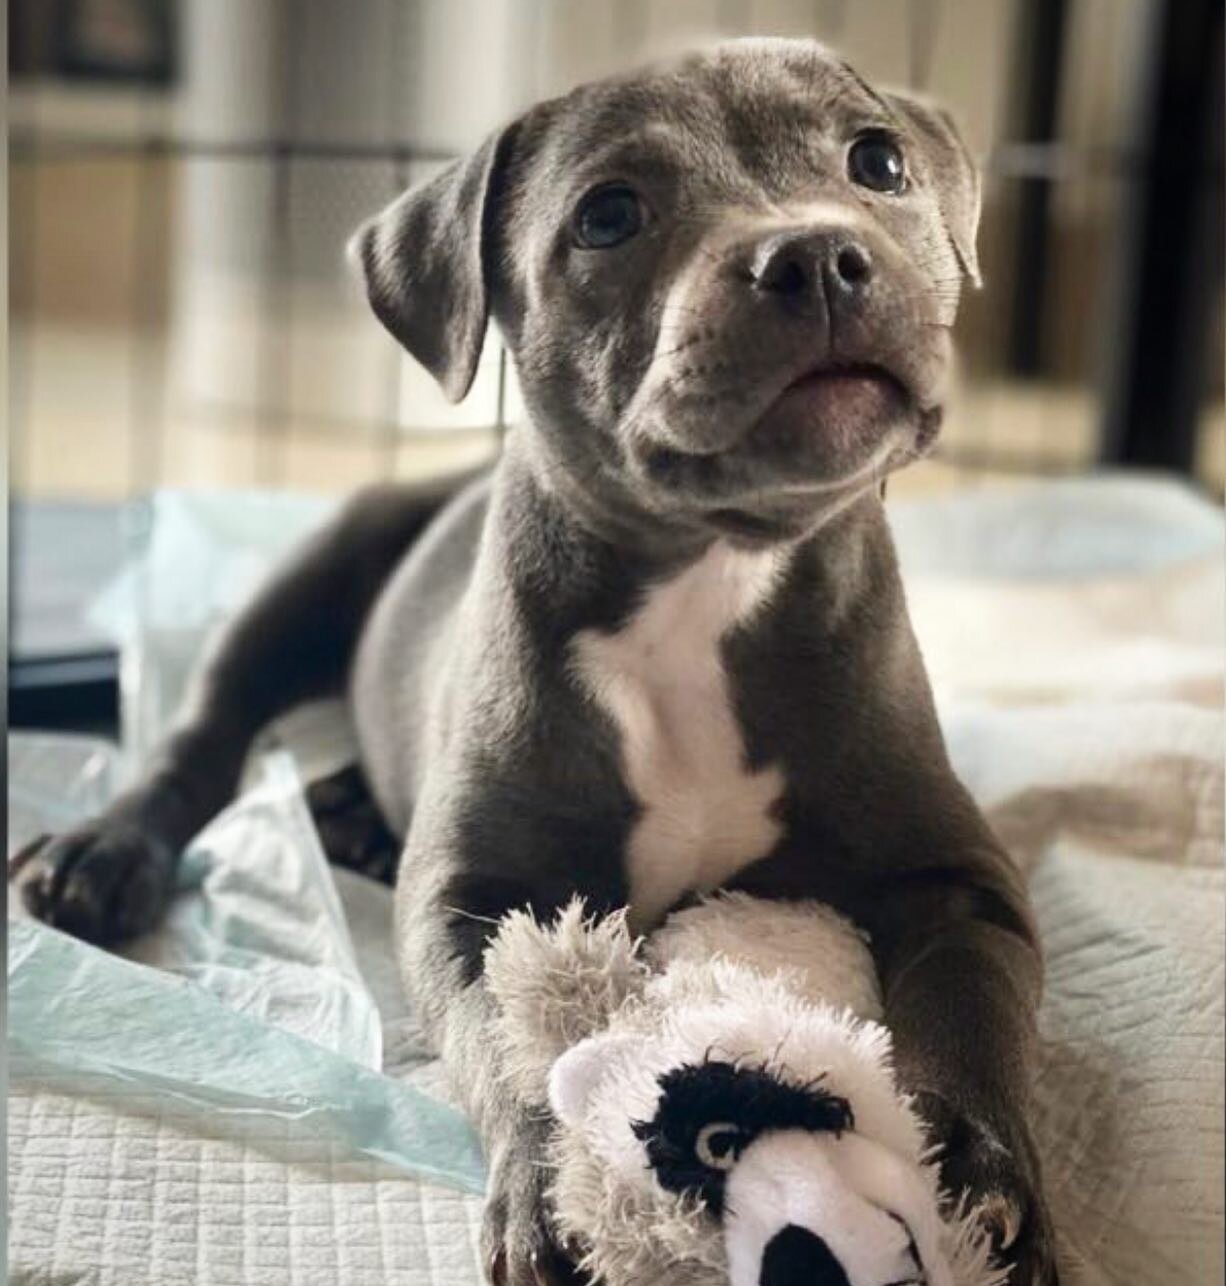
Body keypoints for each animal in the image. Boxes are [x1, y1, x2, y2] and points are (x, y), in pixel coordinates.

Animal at [16, 40, 1054, 1286]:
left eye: (878, 162)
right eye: (607, 216)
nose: (812, 254)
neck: (707, 576)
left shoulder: (953, 875)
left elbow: (968, 1001)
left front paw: (980, 1186)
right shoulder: (477, 898)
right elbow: (514, 1028)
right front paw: (556, 1191)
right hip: (317, 567)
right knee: (203, 732)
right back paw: (106, 851)